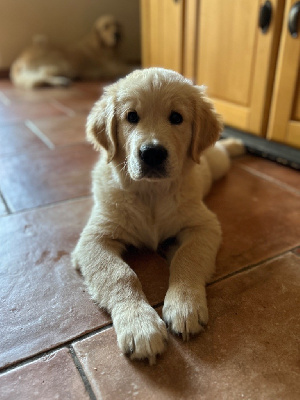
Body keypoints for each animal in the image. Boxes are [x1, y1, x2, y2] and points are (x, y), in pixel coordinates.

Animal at [72, 67, 244, 364]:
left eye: (176, 117)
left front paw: (185, 306)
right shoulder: (94, 238)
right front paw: (139, 326)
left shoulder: (204, 225)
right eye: (131, 116)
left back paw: (238, 144)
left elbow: (187, 259)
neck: (151, 194)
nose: (152, 153)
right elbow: (120, 274)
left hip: (217, 164)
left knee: (222, 150)